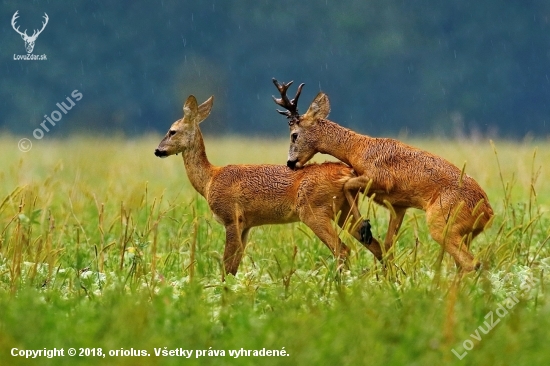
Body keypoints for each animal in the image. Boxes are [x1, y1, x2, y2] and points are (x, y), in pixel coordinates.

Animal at [155, 95, 388, 280]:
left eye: (172, 131)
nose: (158, 150)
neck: (210, 179)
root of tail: (348, 173)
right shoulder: (246, 224)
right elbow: (234, 266)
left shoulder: (231, 217)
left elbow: (226, 265)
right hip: (344, 210)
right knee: (376, 246)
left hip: (314, 211)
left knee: (343, 250)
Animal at [274, 79, 498, 272]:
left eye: (294, 135)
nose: (290, 163)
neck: (358, 149)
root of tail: (487, 212)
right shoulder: (399, 205)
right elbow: (389, 246)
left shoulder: (380, 179)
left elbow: (348, 186)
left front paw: (364, 228)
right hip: (464, 233)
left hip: (442, 223)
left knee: (471, 263)